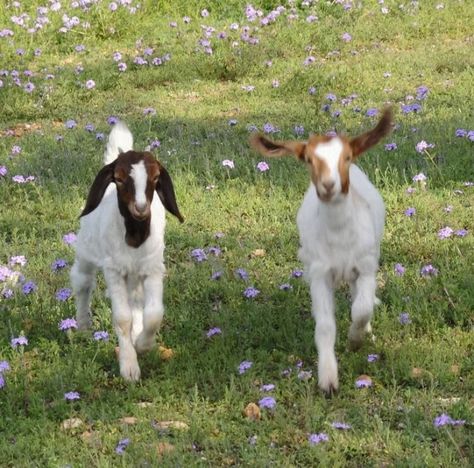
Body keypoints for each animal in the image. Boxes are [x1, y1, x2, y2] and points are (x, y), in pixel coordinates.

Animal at [71, 120, 184, 380]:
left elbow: (154, 313)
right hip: (86, 250)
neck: (134, 237)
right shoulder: (113, 270)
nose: (140, 208)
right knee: (82, 282)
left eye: (155, 177)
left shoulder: (153, 268)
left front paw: (142, 345)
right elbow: (122, 318)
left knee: (137, 302)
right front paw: (129, 366)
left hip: (136, 275)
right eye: (119, 179)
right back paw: (83, 324)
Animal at [252, 108, 392, 394]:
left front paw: (355, 340)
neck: (339, 236)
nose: (328, 185)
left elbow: (361, 309)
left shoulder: (366, 265)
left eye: (346, 157)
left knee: (359, 299)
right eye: (308, 160)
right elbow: (325, 326)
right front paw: (328, 380)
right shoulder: (318, 273)